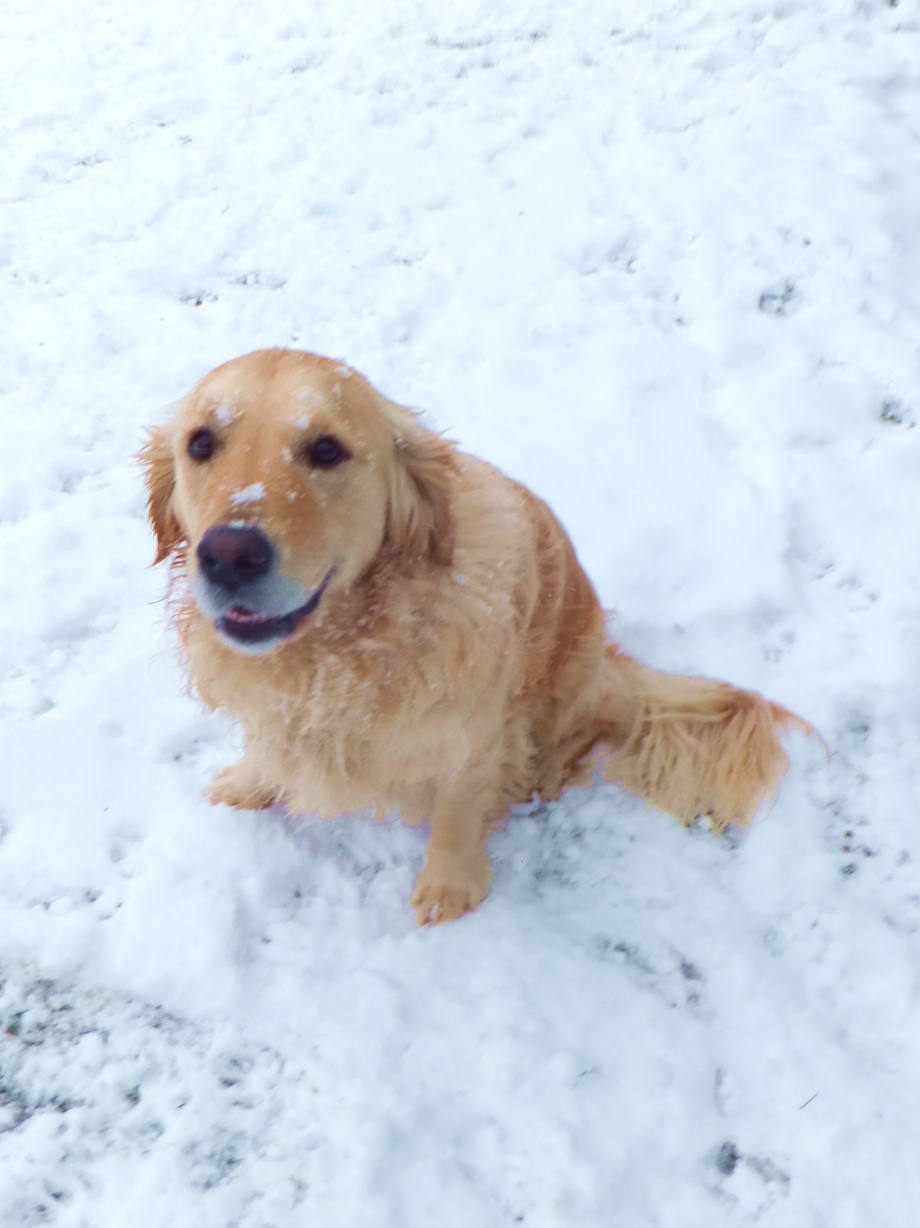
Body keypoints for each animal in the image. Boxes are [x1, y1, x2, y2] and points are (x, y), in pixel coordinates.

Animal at [140, 346, 805, 923]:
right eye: (201, 443)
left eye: (326, 450)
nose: (229, 555)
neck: (341, 646)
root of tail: (611, 663)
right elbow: (269, 747)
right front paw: (250, 784)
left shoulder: (477, 735)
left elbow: (458, 812)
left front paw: (450, 889)